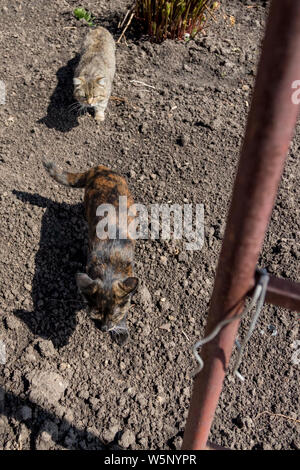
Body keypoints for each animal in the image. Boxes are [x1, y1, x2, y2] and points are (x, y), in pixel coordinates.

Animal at [42, 159, 138, 346]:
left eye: (114, 316)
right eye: (95, 316)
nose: (104, 329)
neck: (109, 270)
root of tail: (99, 169)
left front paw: (121, 331)